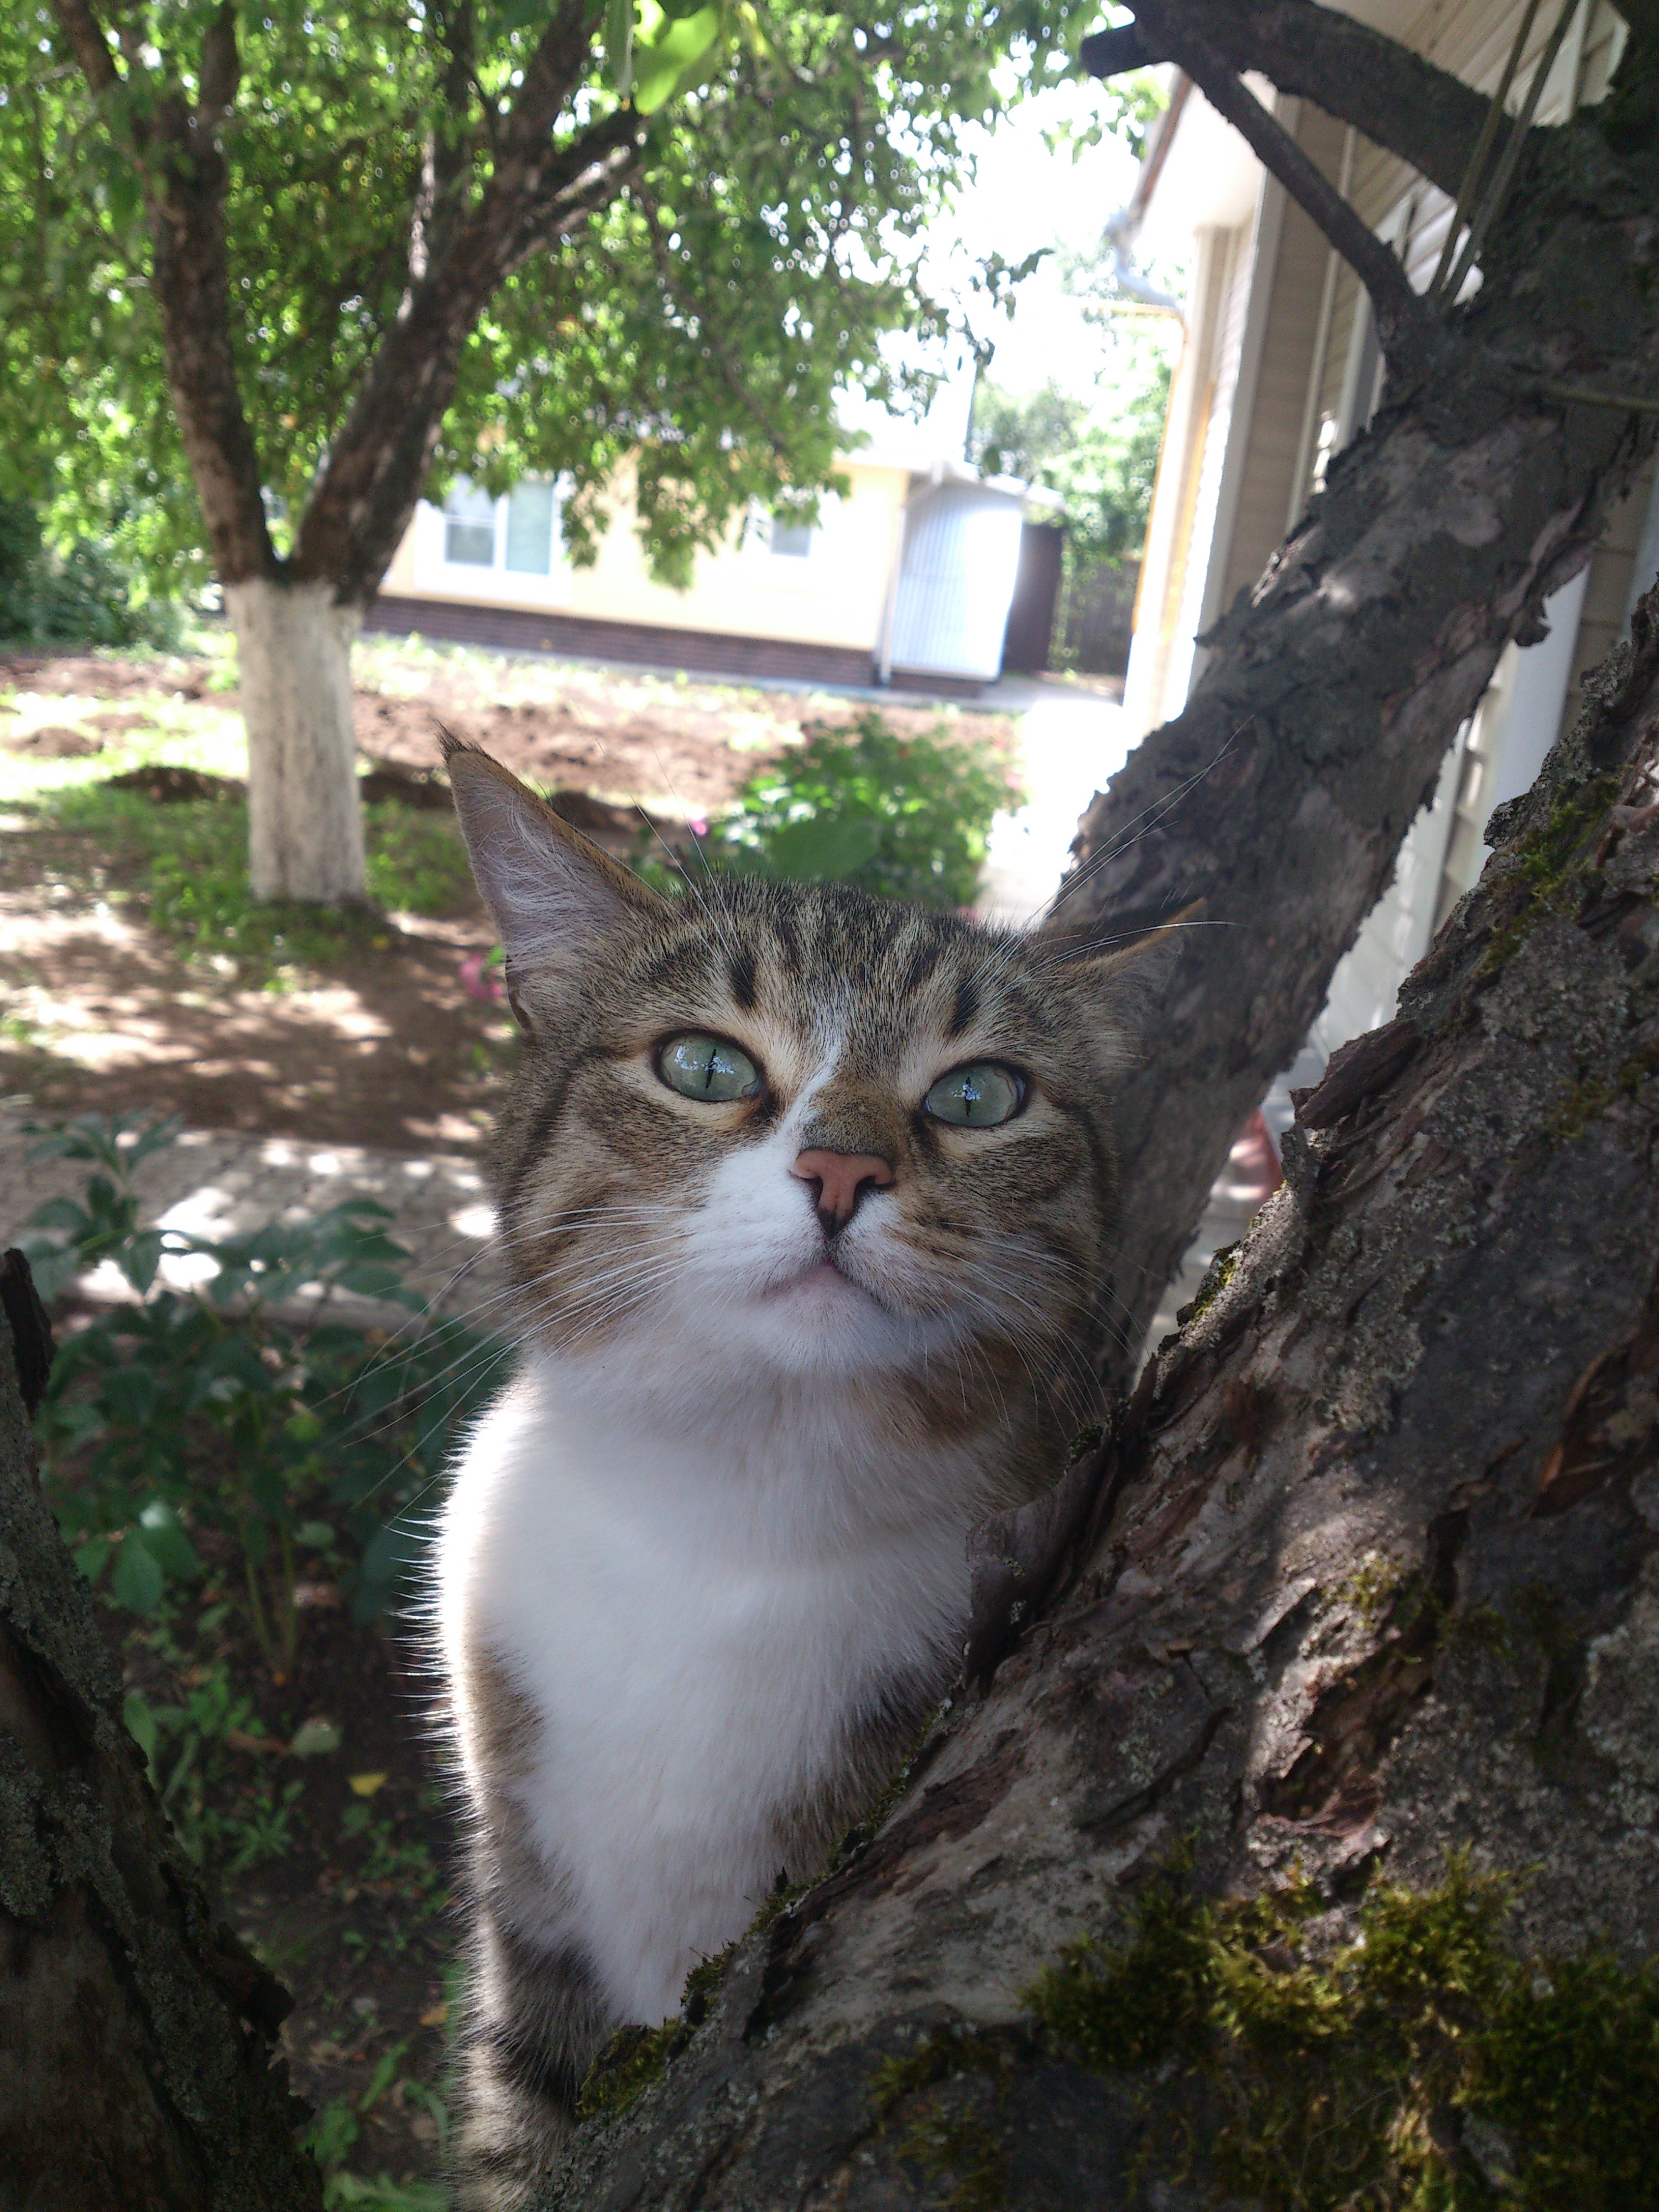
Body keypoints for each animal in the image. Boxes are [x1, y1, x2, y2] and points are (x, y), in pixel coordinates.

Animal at [433, 735, 1137, 2209]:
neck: (732, 1516)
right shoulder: (531, 1906)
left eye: (979, 1094)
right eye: (702, 1063)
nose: (842, 1165)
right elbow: (525, 2111)